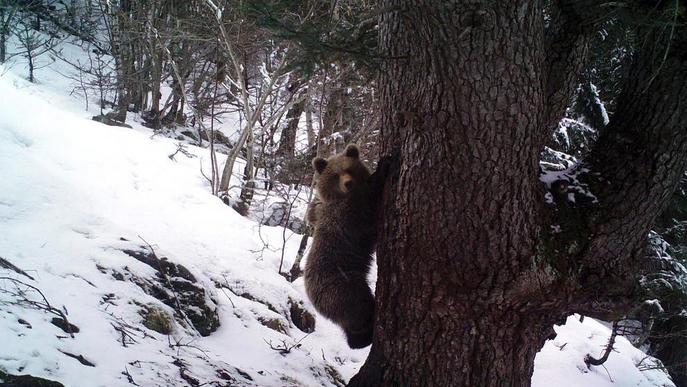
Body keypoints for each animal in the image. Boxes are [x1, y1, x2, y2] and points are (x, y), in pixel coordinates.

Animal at [306, 144, 384, 350]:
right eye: (335, 174)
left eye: (349, 169)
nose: (348, 183)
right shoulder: (344, 217)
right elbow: (366, 210)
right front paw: (382, 171)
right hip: (342, 285)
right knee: (358, 306)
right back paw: (366, 333)